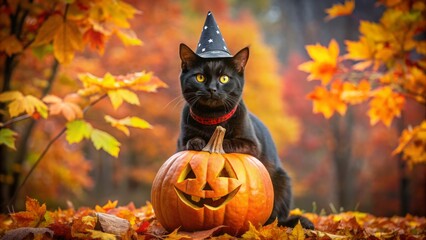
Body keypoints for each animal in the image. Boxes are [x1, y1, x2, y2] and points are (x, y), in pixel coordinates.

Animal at [176, 43, 312, 231]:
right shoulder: (180, 142)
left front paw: (215, 144)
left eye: (224, 79)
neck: (212, 120)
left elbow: (230, 142)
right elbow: (189, 140)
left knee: (276, 219)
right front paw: (197, 142)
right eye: (200, 77)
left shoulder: (252, 144)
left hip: (283, 183)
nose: (212, 89)